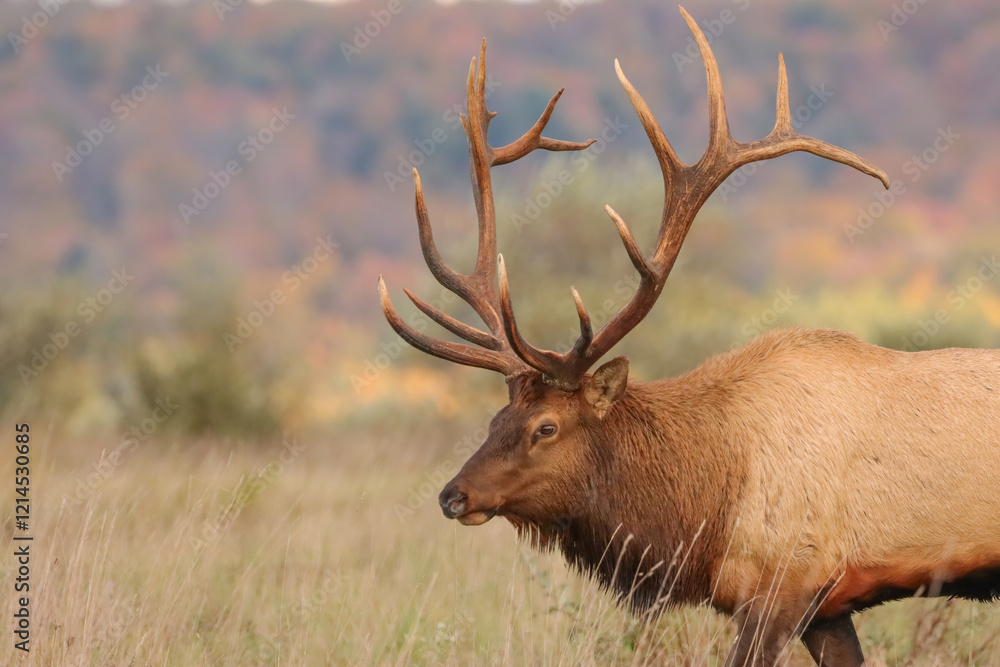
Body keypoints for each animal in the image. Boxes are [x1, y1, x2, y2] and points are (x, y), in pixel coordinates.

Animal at [377, 7, 1000, 666]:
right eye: (496, 420)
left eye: (546, 427)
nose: (453, 496)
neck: (705, 510)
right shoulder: (828, 606)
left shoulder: (785, 583)